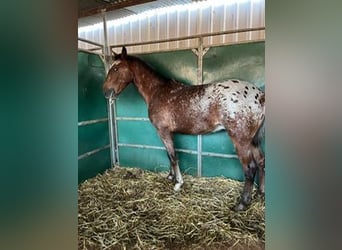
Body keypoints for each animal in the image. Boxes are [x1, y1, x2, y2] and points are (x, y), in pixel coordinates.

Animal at [103, 47, 266, 211]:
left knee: (250, 168)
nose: (105, 92)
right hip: (253, 140)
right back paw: (260, 193)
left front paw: (178, 183)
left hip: (241, 141)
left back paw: (242, 203)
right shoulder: (169, 132)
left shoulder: (163, 131)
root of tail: (259, 95)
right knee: (261, 161)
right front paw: (171, 176)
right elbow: (169, 154)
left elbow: (173, 155)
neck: (157, 91)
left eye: (116, 68)